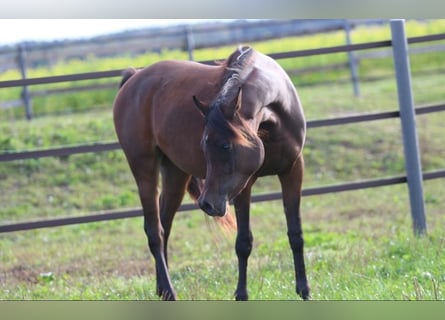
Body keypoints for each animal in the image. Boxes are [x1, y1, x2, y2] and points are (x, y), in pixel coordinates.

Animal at [112, 46, 308, 302]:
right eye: (204, 147)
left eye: (226, 145)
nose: (207, 204)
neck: (274, 117)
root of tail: (134, 78)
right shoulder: (244, 184)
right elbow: (243, 242)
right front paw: (241, 295)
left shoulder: (292, 171)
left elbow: (296, 234)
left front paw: (304, 291)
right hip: (144, 170)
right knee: (154, 231)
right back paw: (170, 293)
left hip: (175, 174)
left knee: (165, 225)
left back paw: (162, 290)